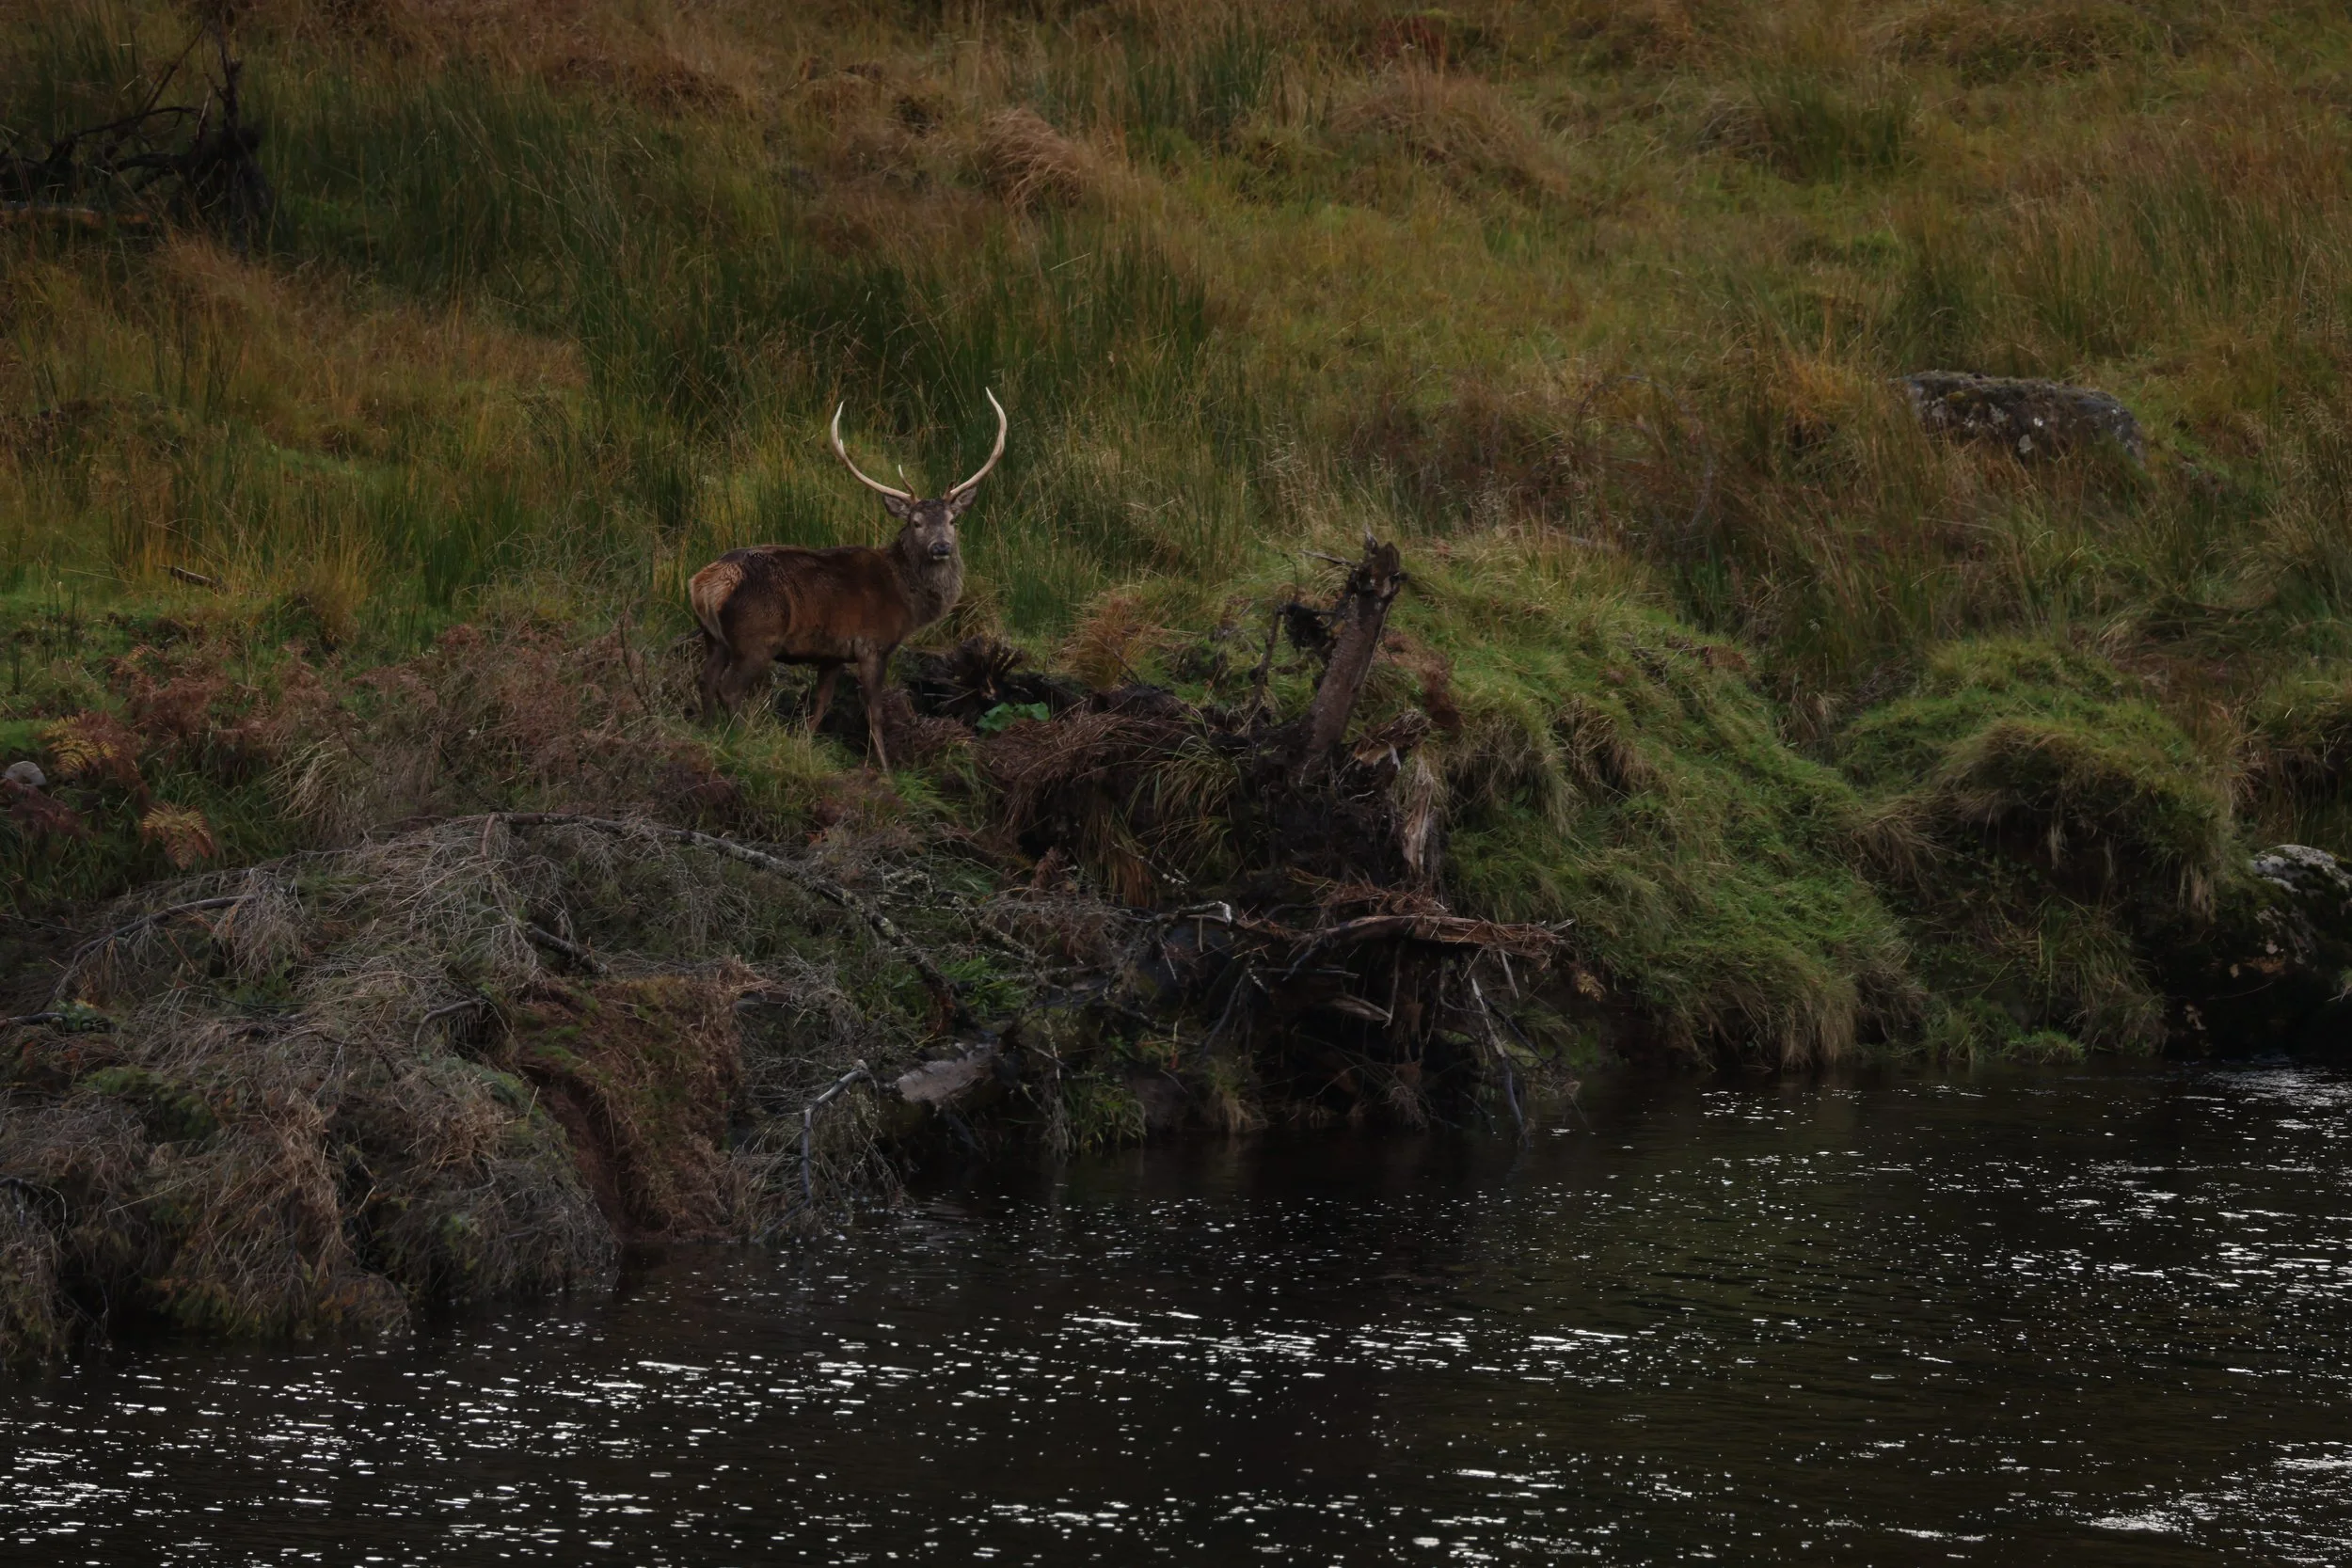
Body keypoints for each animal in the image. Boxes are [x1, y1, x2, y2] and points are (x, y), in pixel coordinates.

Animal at [688, 390, 1007, 770]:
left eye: (952, 520)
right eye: (915, 522)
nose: (941, 547)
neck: (907, 600)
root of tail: (704, 584)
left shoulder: (833, 653)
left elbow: (820, 705)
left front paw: (805, 744)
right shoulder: (874, 645)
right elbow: (874, 711)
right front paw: (884, 767)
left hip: (714, 637)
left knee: (705, 679)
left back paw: (710, 730)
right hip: (756, 636)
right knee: (729, 688)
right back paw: (739, 738)